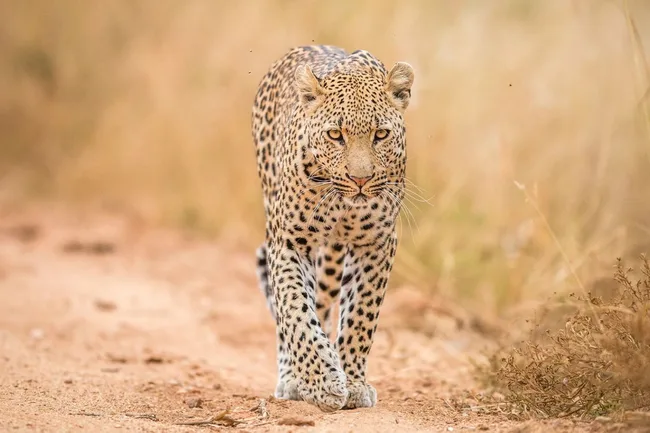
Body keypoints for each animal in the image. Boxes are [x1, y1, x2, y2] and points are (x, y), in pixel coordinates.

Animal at [251, 45, 414, 412]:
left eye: (381, 134)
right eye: (335, 135)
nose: (360, 179)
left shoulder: (377, 244)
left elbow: (361, 316)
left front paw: (352, 383)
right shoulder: (289, 242)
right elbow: (295, 310)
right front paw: (321, 381)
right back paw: (291, 378)